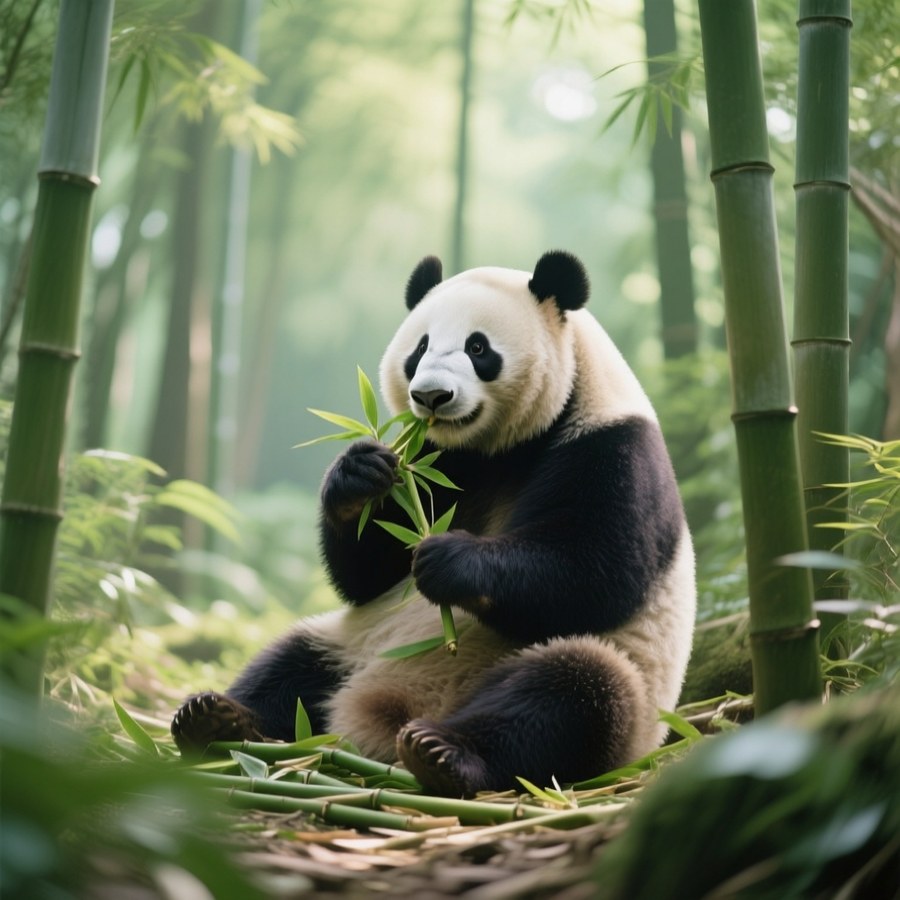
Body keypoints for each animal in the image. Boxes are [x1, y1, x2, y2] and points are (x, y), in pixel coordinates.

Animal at [172, 250, 696, 798]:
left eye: (478, 347)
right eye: (419, 348)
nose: (431, 396)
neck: (506, 446)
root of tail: (381, 719)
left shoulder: (611, 446)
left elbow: (596, 572)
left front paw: (449, 559)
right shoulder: (437, 459)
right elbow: (367, 573)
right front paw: (359, 477)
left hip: (620, 696)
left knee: (568, 695)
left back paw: (442, 752)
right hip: (353, 642)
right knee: (290, 666)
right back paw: (218, 719)